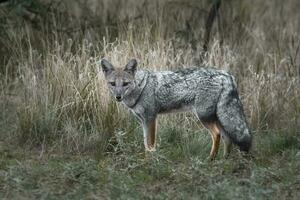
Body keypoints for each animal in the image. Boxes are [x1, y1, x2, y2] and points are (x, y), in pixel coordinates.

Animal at [100, 58, 251, 160]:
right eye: (112, 84)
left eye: (125, 84)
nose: (118, 97)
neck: (141, 87)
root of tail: (226, 74)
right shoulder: (143, 121)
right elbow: (145, 143)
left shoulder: (151, 118)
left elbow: (150, 144)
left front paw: (150, 162)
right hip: (218, 117)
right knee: (227, 138)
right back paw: (224, 160)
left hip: (204, 117)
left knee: (217, 134)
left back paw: (211, 159)